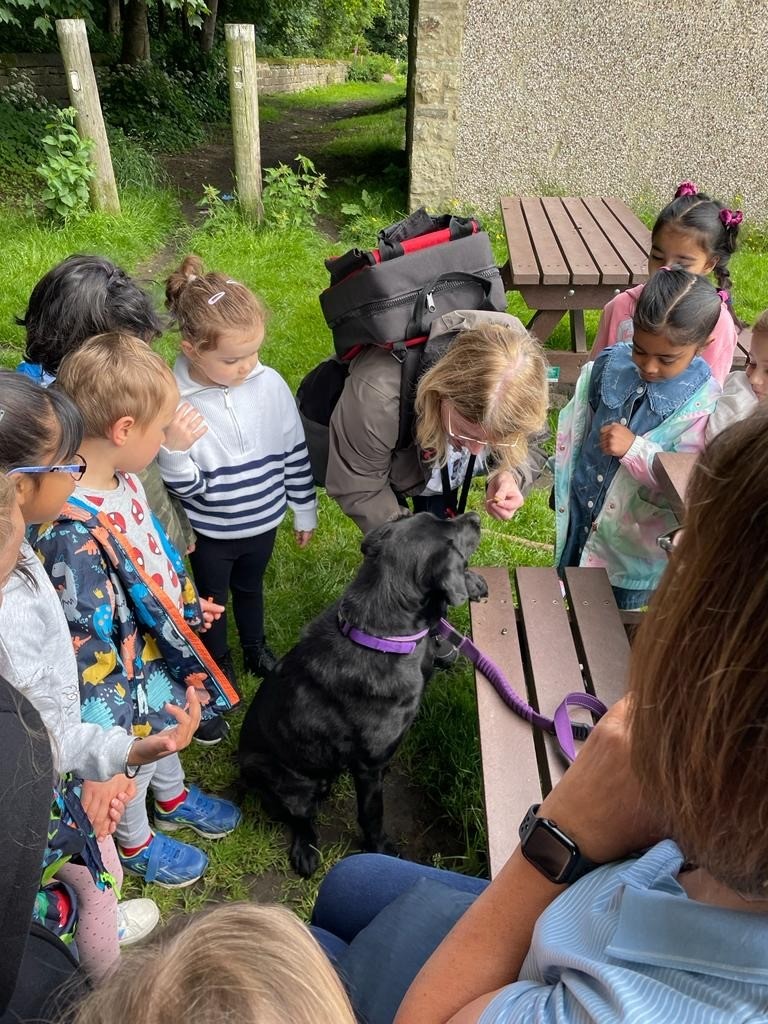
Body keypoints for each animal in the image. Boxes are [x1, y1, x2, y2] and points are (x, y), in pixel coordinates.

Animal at [238, 511, 488, 876]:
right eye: (454, 542)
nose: (476, 516)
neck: (381, 638)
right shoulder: (368, 768)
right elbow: (371, 815)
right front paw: (380, 849)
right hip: (290, 784)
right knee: (300, 819)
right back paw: (306, 851)